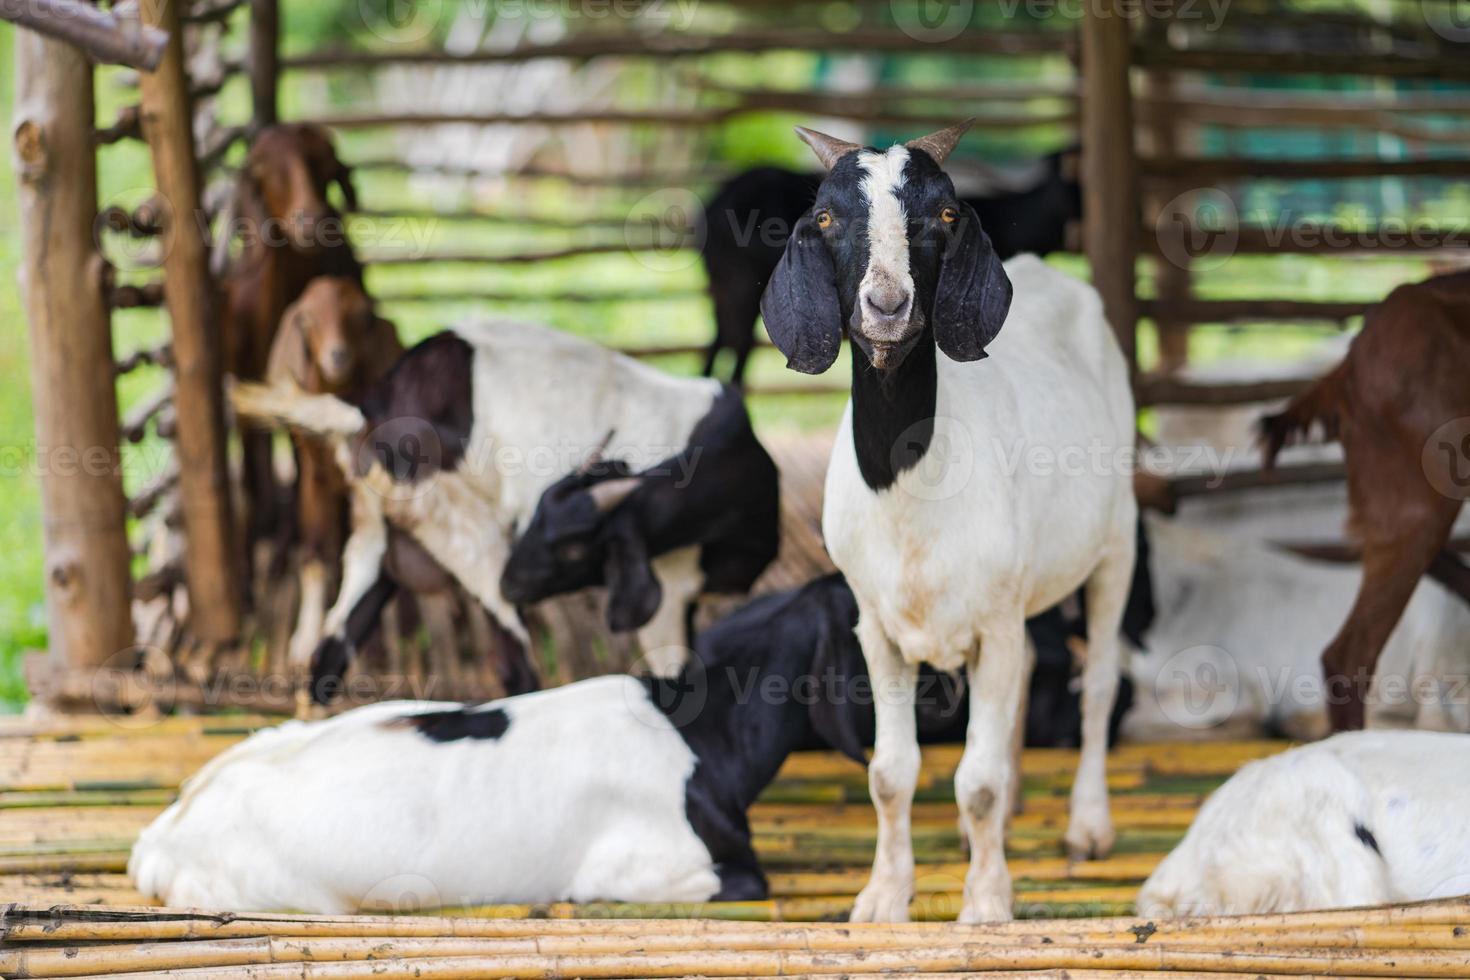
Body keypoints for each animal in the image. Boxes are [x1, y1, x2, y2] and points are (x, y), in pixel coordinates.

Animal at [758, 120, 1134, 922]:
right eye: (827, 217)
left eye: (946, 214)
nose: (886, 305)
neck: (910, 491)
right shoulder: (876, 624)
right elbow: (891, 771)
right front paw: (883, 896)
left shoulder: (993, 619)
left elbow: (976, 781)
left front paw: (987, 902)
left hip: (1116, 540)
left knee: (1097, 682)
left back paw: (1088, 824)